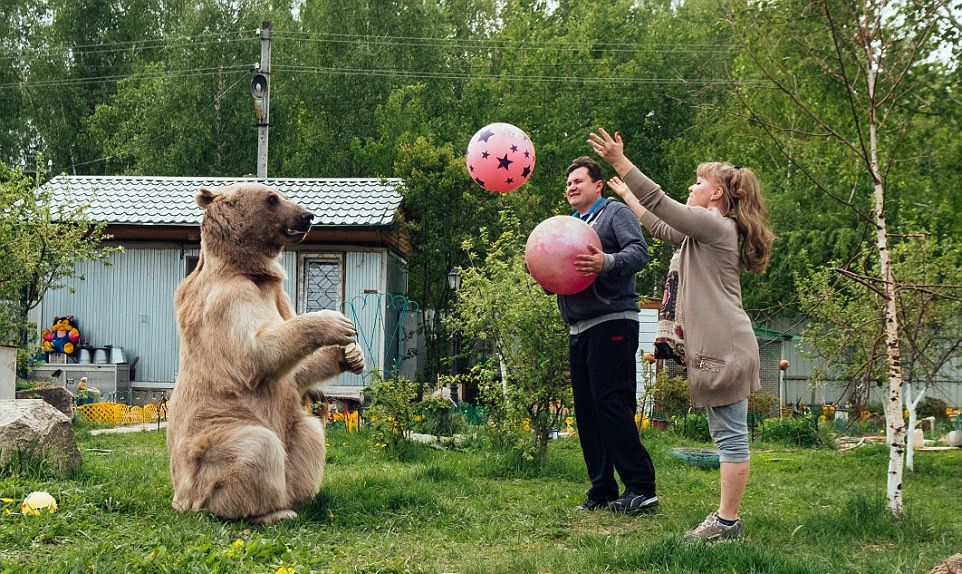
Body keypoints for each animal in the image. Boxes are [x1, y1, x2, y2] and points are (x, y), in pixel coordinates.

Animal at [165, 183, 364, 528]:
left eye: (281, 194)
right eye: (273, 199)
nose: (308, 216)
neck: (251, 271)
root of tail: (181, 498)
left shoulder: (278, 297)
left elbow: (296, 371)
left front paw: (351, 354)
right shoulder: (228, 298)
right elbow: (255, 351)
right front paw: (335, 322)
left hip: (287, 422)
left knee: (309, 433)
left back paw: (298, 496)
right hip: (210, 435)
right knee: (256, 447)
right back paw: (267, 511)